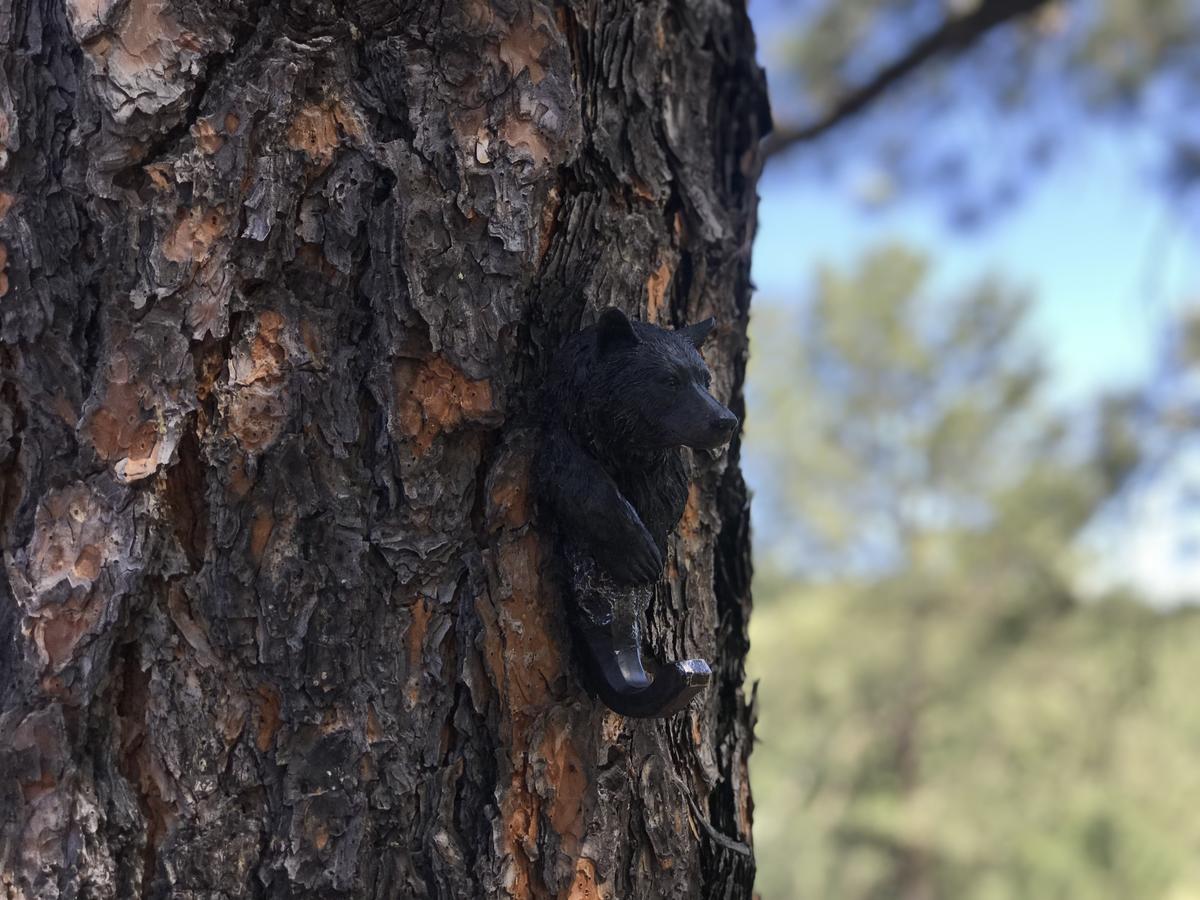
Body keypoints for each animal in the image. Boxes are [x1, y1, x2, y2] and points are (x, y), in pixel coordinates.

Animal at [537, 307, 739, 717]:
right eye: (670, 380)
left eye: (706, 379)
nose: (726, 421)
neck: (624, 450)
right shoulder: (563, 440)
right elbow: (579, 488)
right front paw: (637, 557)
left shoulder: (661, 476)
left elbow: (663, 509)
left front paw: (647, 561)